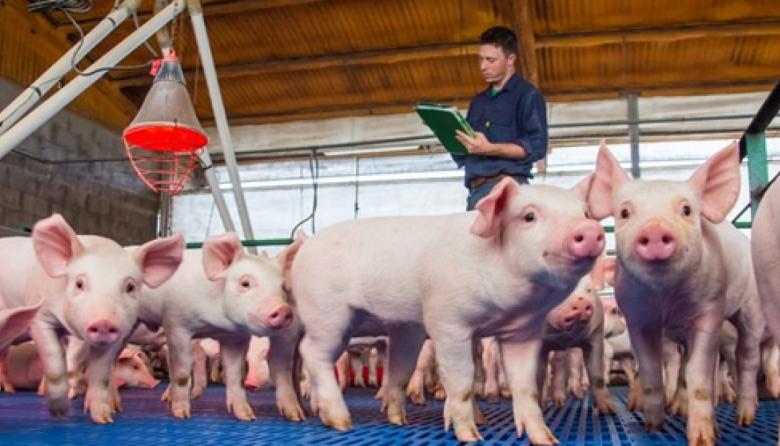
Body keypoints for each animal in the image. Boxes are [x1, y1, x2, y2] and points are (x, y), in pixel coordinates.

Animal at [0, 214, 183, 423]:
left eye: (130, 287)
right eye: (79, 283)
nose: (104, 322)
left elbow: (100, 374)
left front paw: (104, 418)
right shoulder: (40, 318)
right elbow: (57, 365)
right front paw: (60, 412)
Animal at [137, 232, 304, 421]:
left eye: (283, 287)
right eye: (245, 283)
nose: (283, 309)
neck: (213, 325)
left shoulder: (235, 338)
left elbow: (235, 375)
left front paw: (248, 417)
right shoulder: (176, 324)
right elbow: (181, 373)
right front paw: (182, 415)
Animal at [291, 176, 604, 443]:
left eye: (586, 214)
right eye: (529, 216)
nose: (590, 230)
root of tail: (306, 248)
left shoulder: (523, 332)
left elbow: (525, 386)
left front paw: (547, 440)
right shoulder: (448, 321)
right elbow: (462, 380)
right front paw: (470, 436)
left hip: (402, 328)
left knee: (398, 368)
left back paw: (397, 421)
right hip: (326, 313)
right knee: (313, 352)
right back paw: (341, 423)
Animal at [587, 142, 765, 446]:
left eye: (686, 209)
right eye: (625, 213)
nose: (655, 229)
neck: (666, 298)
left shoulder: (710, 308)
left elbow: (698, 373)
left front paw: (703, 438)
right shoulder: (638, 317)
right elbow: (650, 369)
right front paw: (652, 426)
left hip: (751, 306)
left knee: (746, 356)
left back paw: (744, 419)